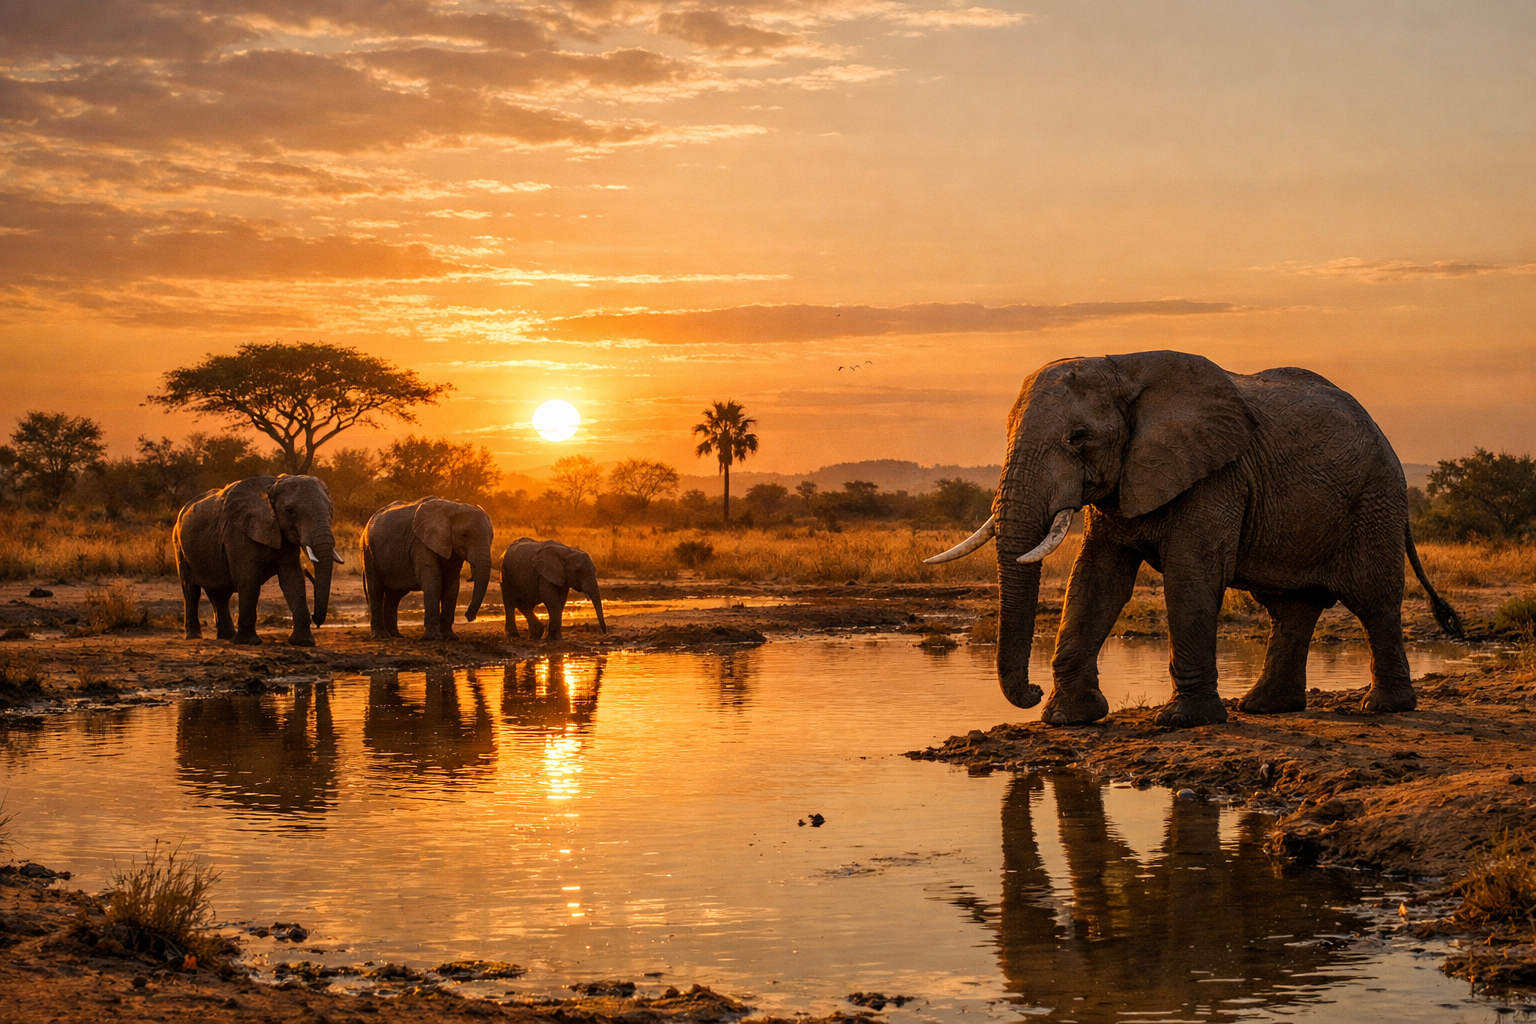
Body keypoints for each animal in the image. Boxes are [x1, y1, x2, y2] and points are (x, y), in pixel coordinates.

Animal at [174, 474, 341, 646]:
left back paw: (228, 636)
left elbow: (293, 580)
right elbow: (249, 578)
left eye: (331, 511)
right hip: (179, 545)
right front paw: (249, 642)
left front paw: (303, 642)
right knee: (191, 590)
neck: (272, 487)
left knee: (220, 594)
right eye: (290, 511)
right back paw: (194, 636)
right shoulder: (238, 533)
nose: (315, 618)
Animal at [360, 497, 493, 641]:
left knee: (394, 595)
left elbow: (452, 585)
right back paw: (381, 636)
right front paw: (433, 638)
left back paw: (397, 636)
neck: (453, 508)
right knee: (376, 589)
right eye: (464, 534)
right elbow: (433, 582)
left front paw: (450, 637)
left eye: (492, 537)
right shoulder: (421, 543)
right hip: (369, 552)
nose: (469, 617)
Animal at [926, 350, 1462, 728]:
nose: (1031, 691)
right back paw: (1264, 708)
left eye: (1078, 438)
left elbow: (1192, 572)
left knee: (1373, 599)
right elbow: (1096, 581)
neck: (1124, 368)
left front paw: (1181, 722)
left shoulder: (1217, 475)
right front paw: (1066, 719)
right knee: (1290, 607)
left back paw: (1384, 709)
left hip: (1375, 500)